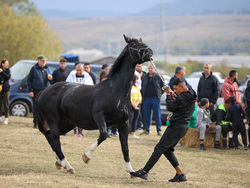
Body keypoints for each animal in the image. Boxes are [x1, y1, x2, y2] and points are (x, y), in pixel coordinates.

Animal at [35, 34, 152, 174]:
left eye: (142, 42)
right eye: (133, 45)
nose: (149, 52)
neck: (115, 90)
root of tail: (43, 92)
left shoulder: (124, 123)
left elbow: (125, 147)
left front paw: (130, 170)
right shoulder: (99, 116)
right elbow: (103, 135)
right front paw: (86, 156)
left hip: (67, 123)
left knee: (50, 137)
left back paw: (59, 162)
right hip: (53, 121)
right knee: (56, 142)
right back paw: (68, 167)